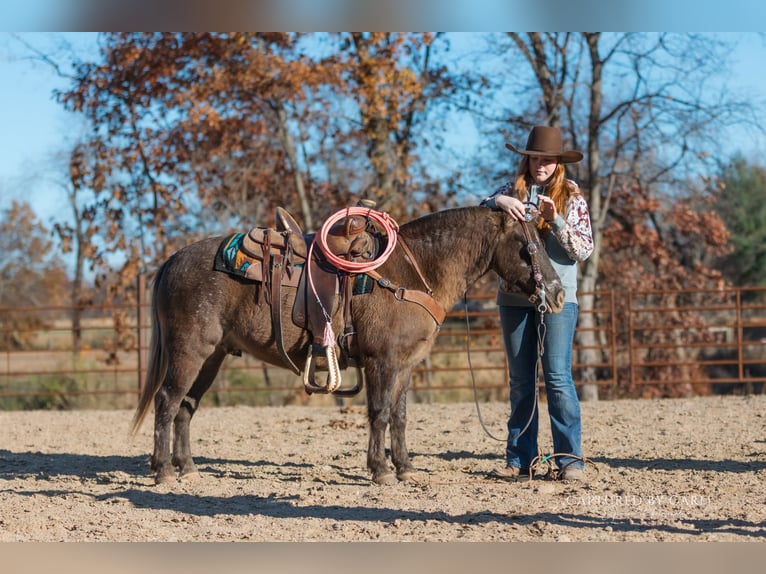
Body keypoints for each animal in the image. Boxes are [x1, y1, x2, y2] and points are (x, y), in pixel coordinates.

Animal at [130, 205, 565, 485]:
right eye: (528, 247)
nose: (558, 293)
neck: (410, 273)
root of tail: (173, 261)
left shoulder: (405, 365)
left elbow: (399, 416)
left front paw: (405, 468)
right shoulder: (381, 362)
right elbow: (379, 413)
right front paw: (381, 471)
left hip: (212, 358)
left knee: (186, 407)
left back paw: (187, 468)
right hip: (190, 352)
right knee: (167, 402)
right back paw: (164, 471)